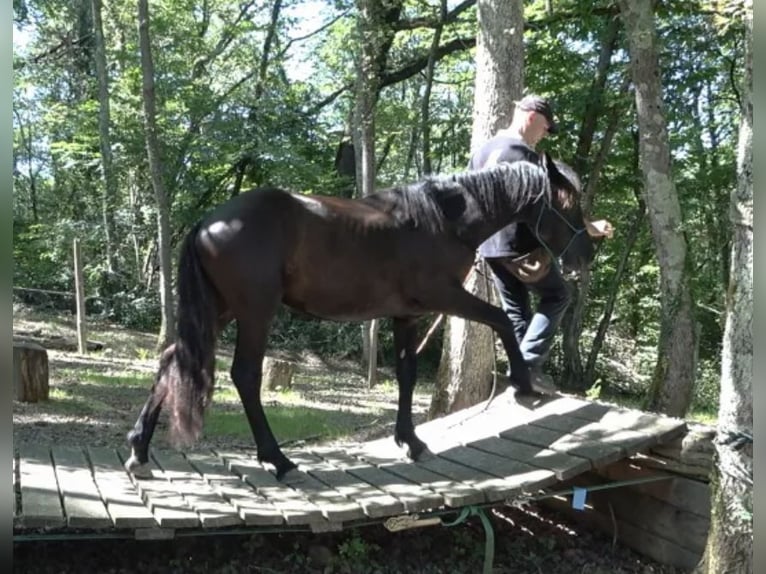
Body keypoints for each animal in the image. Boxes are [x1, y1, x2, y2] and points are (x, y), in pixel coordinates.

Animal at [124, 152, 592, 482]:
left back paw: (139, 450)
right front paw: (523, 384)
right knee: (245, 375)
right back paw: (278, 459)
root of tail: (210, 221)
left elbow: (405, 375)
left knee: (172, 361)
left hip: (220, 310)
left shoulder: (407, 315)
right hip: (255, 312)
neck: (441, 221)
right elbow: (501, 320)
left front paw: (410, 440)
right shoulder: (445, 297)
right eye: (569, 208)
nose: (583, 257)